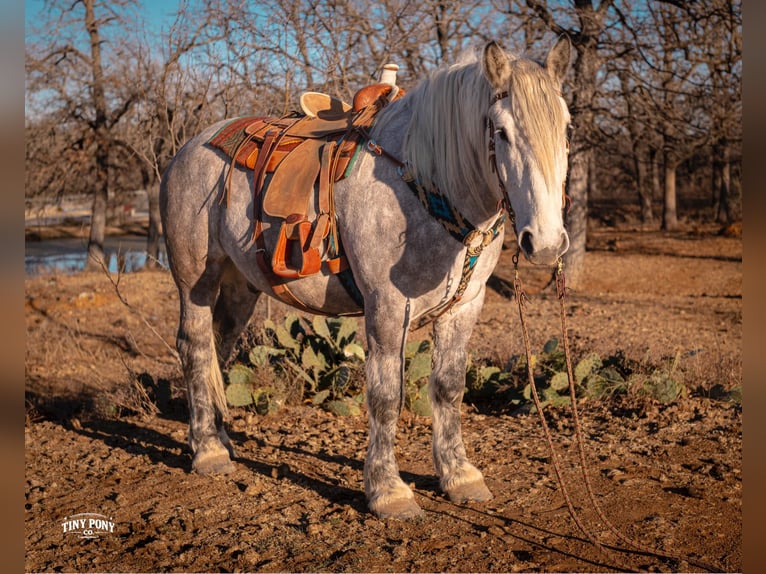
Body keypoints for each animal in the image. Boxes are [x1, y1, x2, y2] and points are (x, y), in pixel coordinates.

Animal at [160, 37, 572, 519]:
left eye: (566, 129)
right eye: (501, 131)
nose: (544, 242)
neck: (425, 181)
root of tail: (189, 148)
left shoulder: (465, 307)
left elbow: (449, 388)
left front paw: (459, 475)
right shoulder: (388, 307)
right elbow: (385, 395)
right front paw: (387, 489)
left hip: (241, 286)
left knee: (218, 349)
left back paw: (221, 439)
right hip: (196, 281)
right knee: (195, 349)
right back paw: (206, 450)